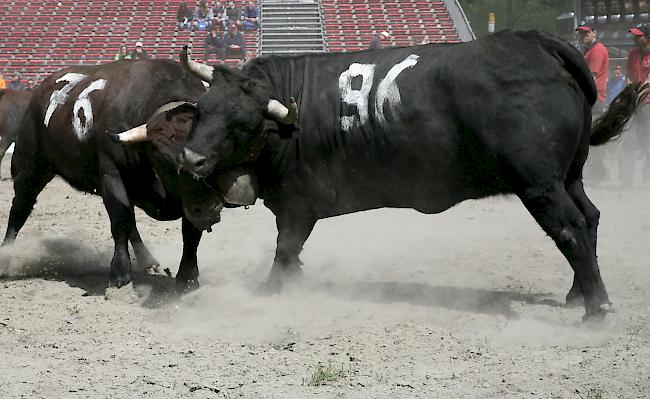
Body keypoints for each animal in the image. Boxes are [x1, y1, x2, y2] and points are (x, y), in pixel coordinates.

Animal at [1, 59, 246, 290]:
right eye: (163, 157)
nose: (209, 208)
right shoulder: (112, 175)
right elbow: (120, 221)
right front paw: (120, 275)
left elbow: (190, 233)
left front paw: (187, 278)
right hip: (29, 168)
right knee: (20, 209)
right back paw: (6, 259)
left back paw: (148, 261)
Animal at [176, 29, 644, 320]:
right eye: (202, 108)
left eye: (242, 124)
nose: (191, 158)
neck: (290, 118)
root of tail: (535, 42)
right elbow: (290, 252)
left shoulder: (298, 205)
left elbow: (285, 248)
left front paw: (273, 289)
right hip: (570, 177)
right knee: (590, 217)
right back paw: (577, 293)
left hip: (540, 185)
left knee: (570, 227)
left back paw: (596, 308)